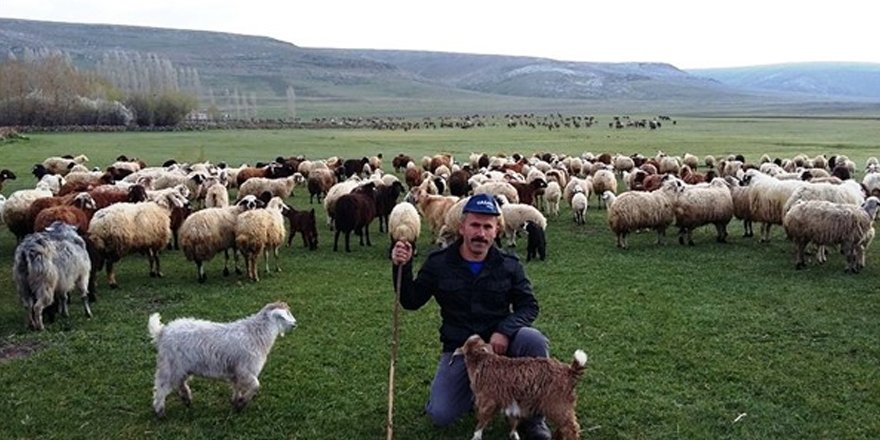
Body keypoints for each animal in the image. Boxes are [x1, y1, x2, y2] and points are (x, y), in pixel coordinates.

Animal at [150, 300, 300, 418]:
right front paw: (242, 403)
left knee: (180, 382)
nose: (295, 324)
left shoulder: (236, 371)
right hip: (170, 366)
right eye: (285, 315)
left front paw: (236, 401)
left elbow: (237, 386)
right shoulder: (245, 369)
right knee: (161, 387)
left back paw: (186, 398)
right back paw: (160, 411)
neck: (256, 335)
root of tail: (162, 332)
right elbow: (256, 386)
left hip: (181, 367)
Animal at [450, 334, 588, 440]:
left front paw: (476, 437)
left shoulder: (487, 401)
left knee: (571, 427)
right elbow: (513, 421)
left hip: (557, 403)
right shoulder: (511, 403)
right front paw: (514, 435)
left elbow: (482, 420)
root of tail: (570, 371)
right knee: (563, 426)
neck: (482, 362)